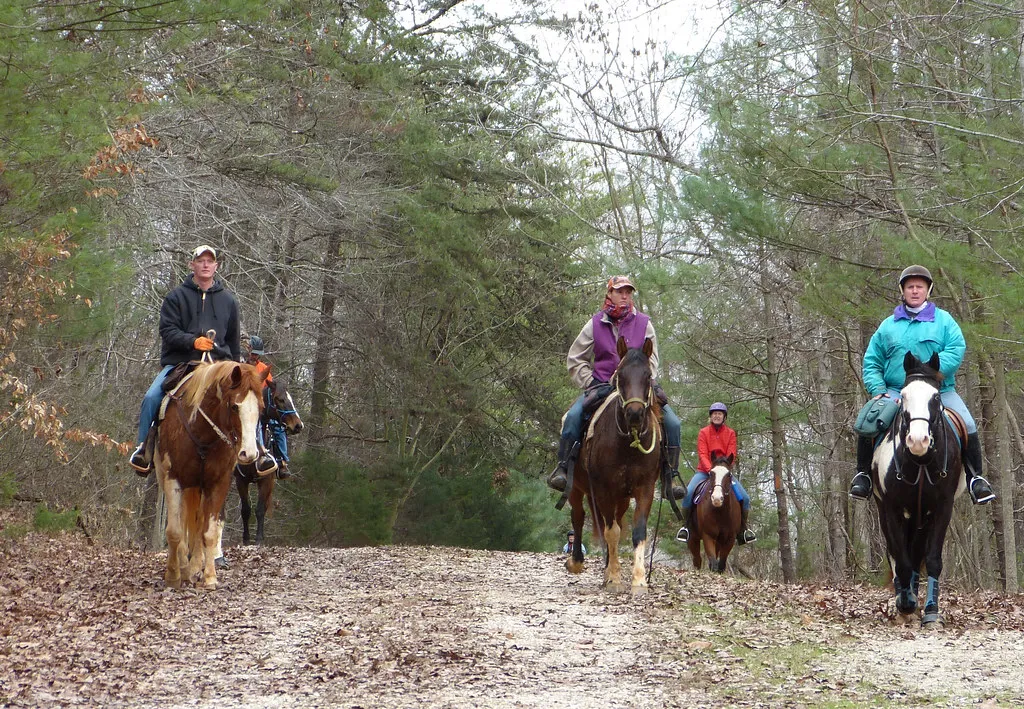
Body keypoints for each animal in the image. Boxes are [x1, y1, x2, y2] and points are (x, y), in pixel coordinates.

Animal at [153, 360, 268, 589]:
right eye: (234, 406)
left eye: (261, 408)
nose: (249, 454)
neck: (201, 432)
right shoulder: (173, 479)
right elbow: (174, 531)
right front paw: (173, 575)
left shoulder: (218, 483)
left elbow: (208, 532)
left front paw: (209, 577)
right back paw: (183, 566)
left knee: (198, 526)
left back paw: (194, 568)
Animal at [232, 379, 304, 545]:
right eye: (279, 399)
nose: (298, 425)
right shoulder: (241, 480)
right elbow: (245, 510)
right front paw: (246, 539)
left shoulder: (266, 480)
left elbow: (259, 510)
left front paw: (259, 538)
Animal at [565, 337, 663, 593]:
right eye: (620, 376)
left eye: (648, 376)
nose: (635, 414)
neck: (629, 443)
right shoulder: (603, 489)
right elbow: (611, 532)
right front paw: (615, 579)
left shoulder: (644, 488)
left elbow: (637, 532)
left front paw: (639, 580)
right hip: (578, 487)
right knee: (579, 516)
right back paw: (577, 562)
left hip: (622, 497)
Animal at [871, 351, 965, 627]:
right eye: (903, 396)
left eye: (935, 397)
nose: (918, 441)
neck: (921, 462)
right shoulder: (891, 509)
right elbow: (900, 560)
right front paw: (905, 604)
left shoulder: (942, 508)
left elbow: (931, 560)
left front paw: (932, 612)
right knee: (898, 555)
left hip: (921, 517)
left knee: (915, 554)